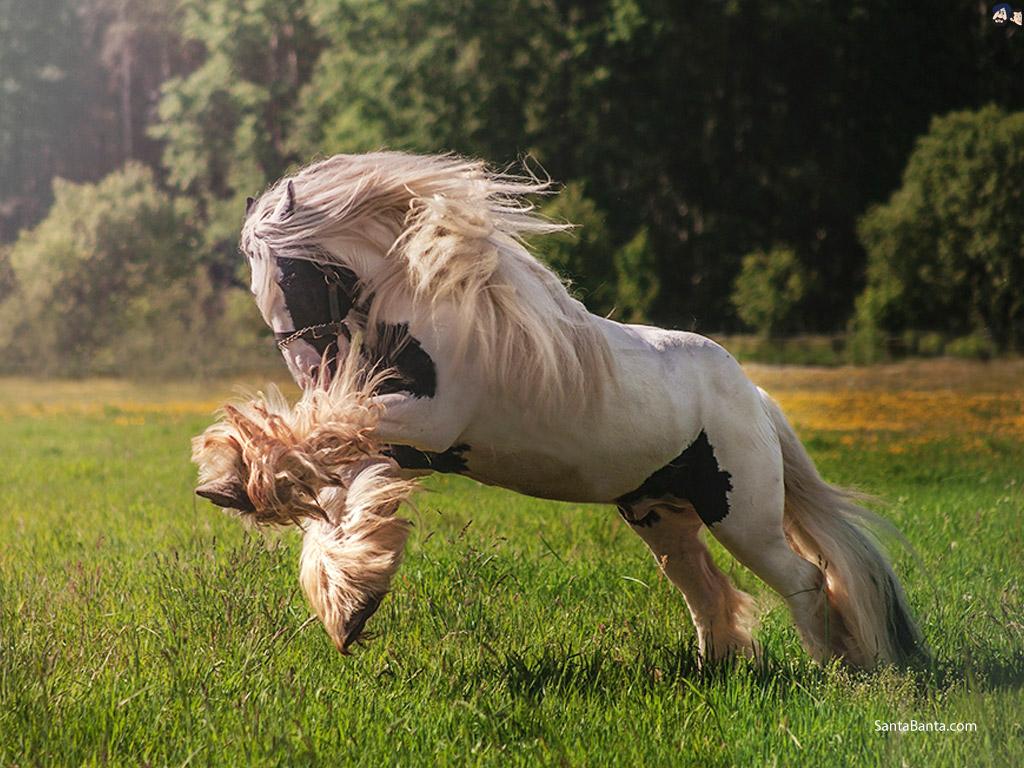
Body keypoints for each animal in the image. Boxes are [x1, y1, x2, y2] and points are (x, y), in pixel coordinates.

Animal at [193, 151, 925, 668]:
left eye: (290, 272)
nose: (312, 372)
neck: (431, 312)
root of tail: (754, 398)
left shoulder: (423, 421)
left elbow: (322, 453)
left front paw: (235, 481)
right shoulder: (400, 440)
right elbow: (338, 491)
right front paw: (348, 598)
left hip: (742, 516)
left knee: (805, 579)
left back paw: (839, 669)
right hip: (660, 515)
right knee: (704, 588)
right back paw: (714, 669)